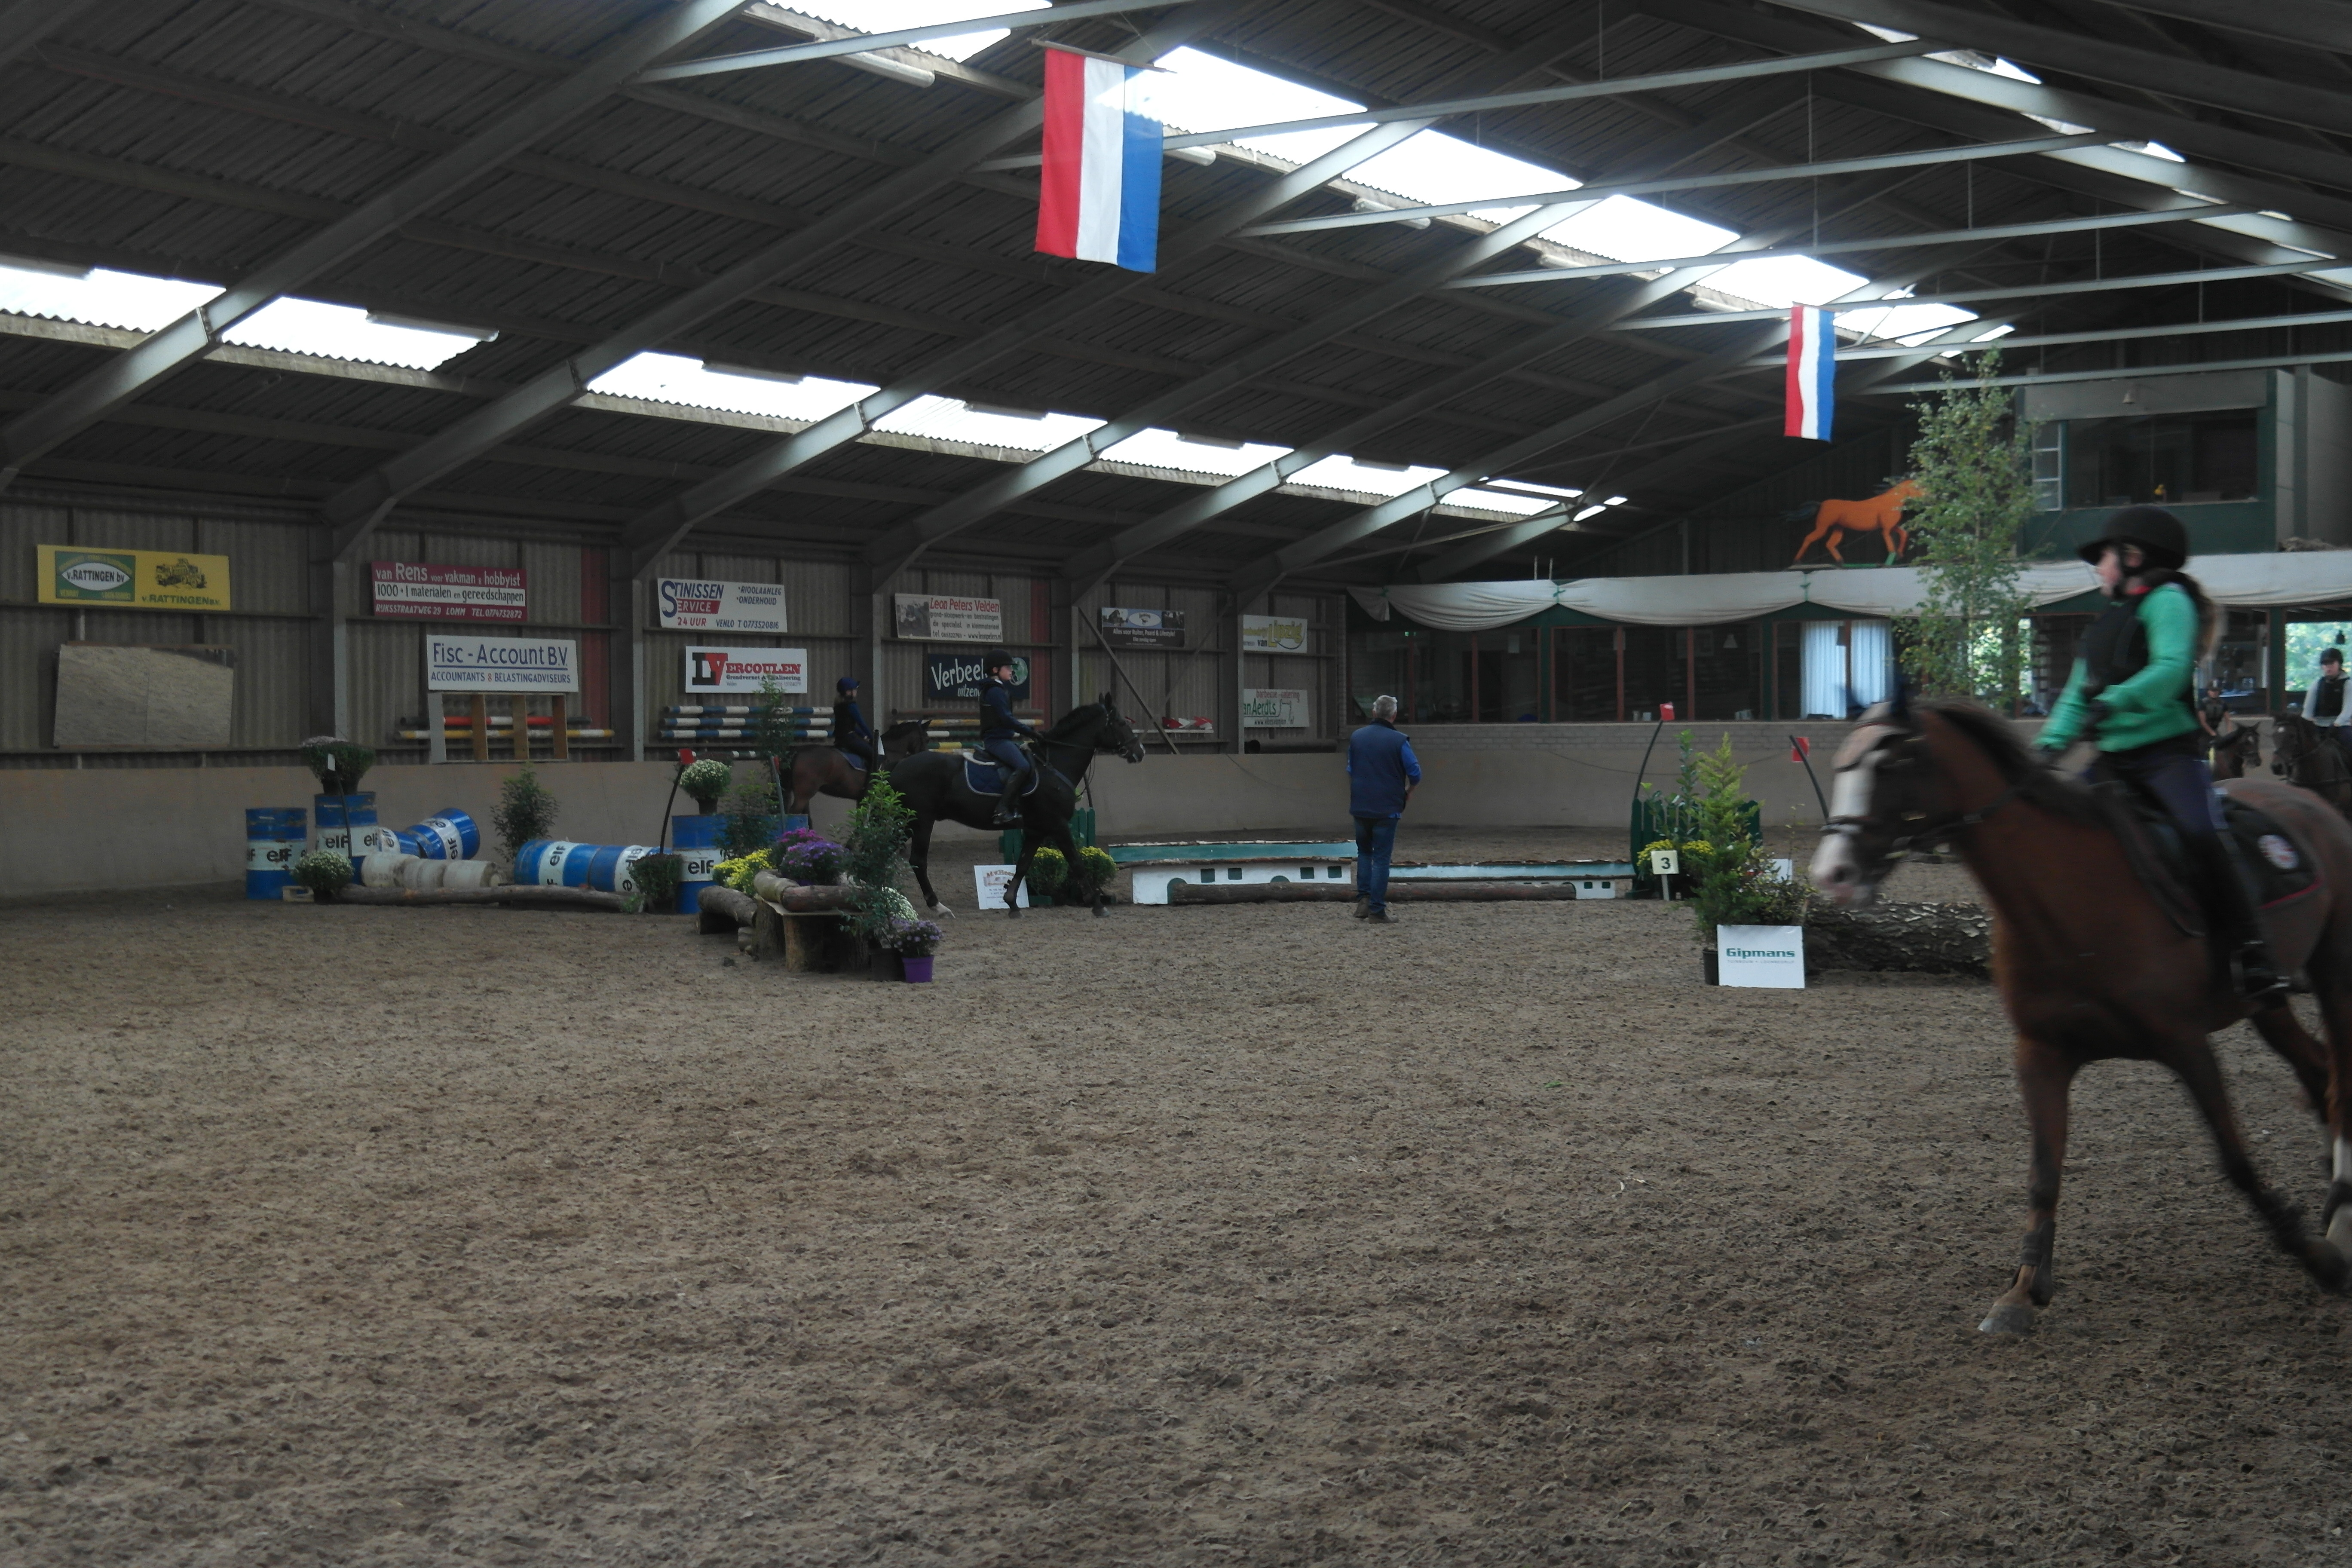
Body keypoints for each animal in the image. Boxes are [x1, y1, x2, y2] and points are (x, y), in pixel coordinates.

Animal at [887, 696, 1145, 917]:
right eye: (1121, 723)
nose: (1140, 752)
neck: (1054, 765)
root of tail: (898, 766)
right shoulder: (1058, 825)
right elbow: (1076, 862)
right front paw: (1098, 905)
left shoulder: (1036, 830)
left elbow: (1022, 865)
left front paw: (1012, 903)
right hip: (921, 821)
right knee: (918, 860)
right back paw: (937, 906)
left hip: (906, 822)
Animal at [1790, 478, 1923, 566]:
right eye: (1917, 487)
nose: (1927, 495)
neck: (1892, 501)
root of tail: (1821, 504)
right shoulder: (1886, 528)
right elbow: (1890, 543)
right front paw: (1890, 560)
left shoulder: (1893, 526)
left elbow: (1904, 534)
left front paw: (1900, 555)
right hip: (1823, 527)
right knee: (1809, 538)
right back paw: (1797, 562)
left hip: (1838, 528)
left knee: (1830, 544)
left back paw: (1841, 562)